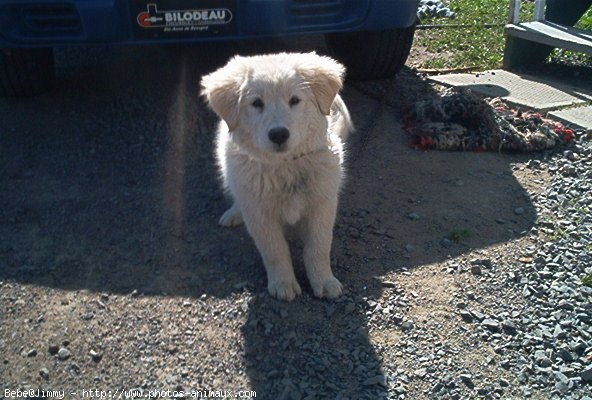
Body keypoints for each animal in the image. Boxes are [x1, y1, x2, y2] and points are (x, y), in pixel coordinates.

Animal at [201, 52, 354, 300]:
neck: (285, 166)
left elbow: (319, 247)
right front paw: (283, 283)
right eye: (256, 103)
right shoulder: (260, 215)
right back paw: (234, 213)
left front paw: (324, 281)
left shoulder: (322, 205)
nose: (279, 134)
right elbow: (275, 251)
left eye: (294, 100)